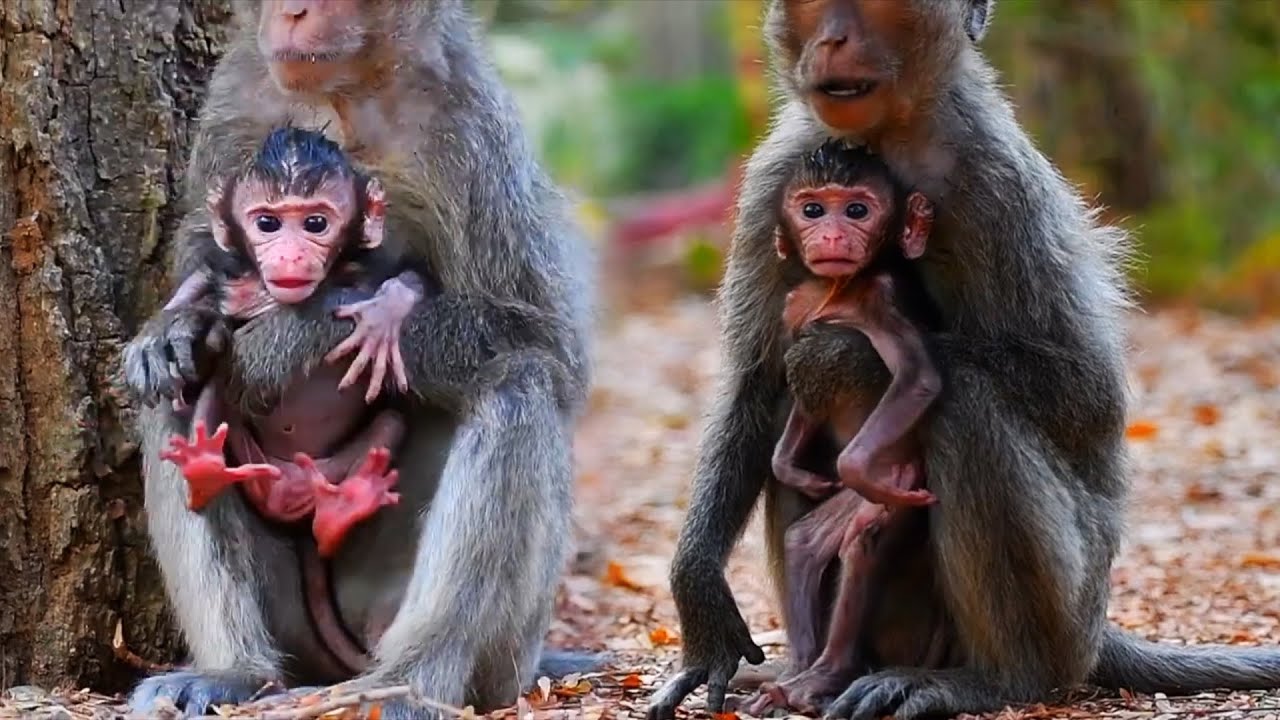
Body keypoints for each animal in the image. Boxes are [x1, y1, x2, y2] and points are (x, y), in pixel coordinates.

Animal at [119, 2, 601, 717]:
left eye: (317, 223)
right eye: (267, 222)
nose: (293, 12)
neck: (346, 96)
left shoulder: (473, 134)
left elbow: (550, 343)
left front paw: (300, 332)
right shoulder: (236, 100)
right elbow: (200, 270)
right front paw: (179, 324)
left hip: (500, 652)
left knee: (519, 380)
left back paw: (412, 677)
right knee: (178, 398)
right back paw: (236, 668)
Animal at [648, 2, 1280, 719]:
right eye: (814, 8)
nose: (833, 37)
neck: (891, 136)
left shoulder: (997, 182)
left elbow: (1086, 393)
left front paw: (846, 344)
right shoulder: (772, 179)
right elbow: (756, 381)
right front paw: (701, 604)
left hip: (1071, 591)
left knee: (966, 405)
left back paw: (999, 678)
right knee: (791, 429)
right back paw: (816, 669)